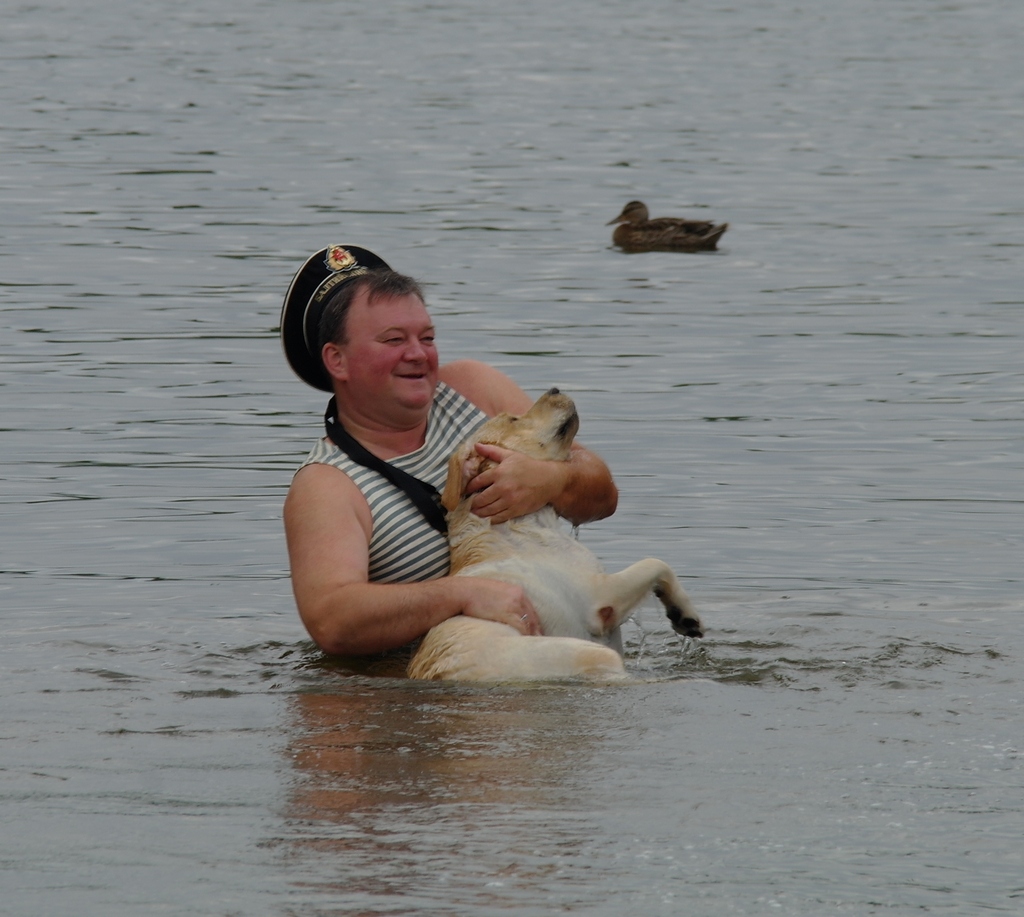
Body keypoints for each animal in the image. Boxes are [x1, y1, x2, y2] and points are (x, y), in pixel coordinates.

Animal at [407, 386, 704, 679]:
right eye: (513, 419)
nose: (554, 388)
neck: (518, 523)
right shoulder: (601, 598)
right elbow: (656, 563)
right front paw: (685, 615)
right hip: (589, 653)